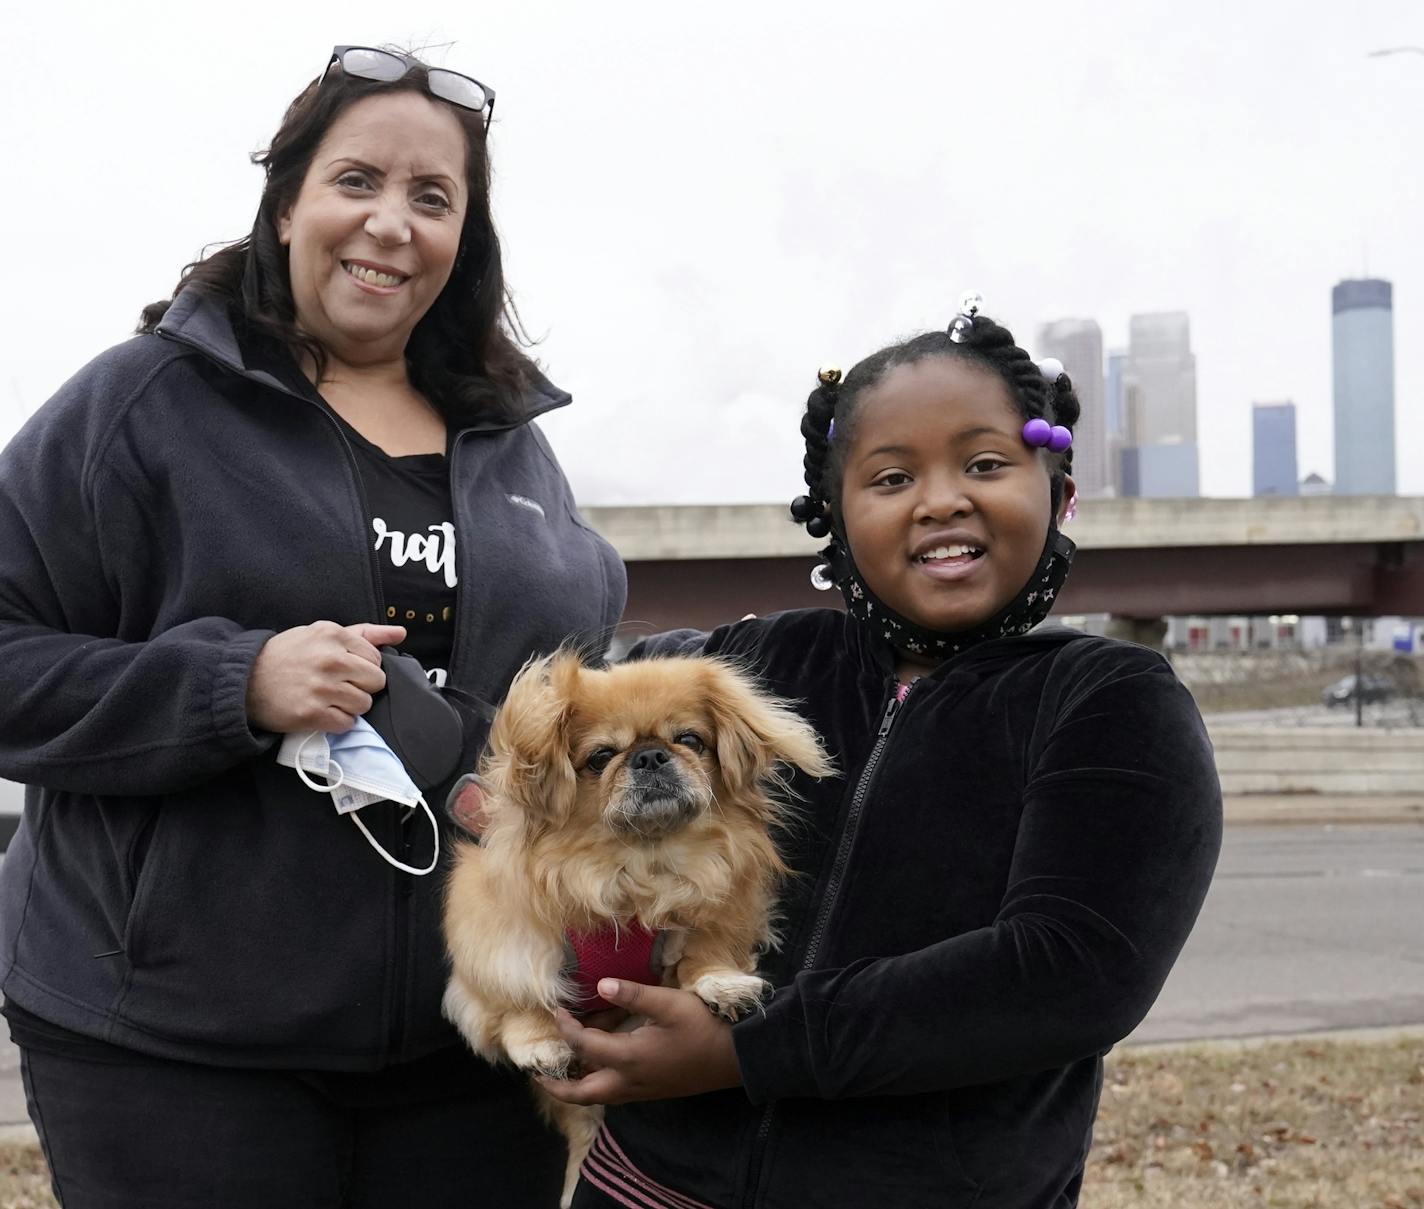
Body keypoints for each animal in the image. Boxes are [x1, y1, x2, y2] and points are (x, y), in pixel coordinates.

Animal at [438, 655, 831, 1201]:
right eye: (601, 756)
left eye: (689, 740)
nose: (649, 756)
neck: (639, 860)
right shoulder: (501, 930)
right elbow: (519, 991)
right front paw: (539, 1043)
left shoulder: (715, 906)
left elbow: (707, 950)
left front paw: (720, 984)